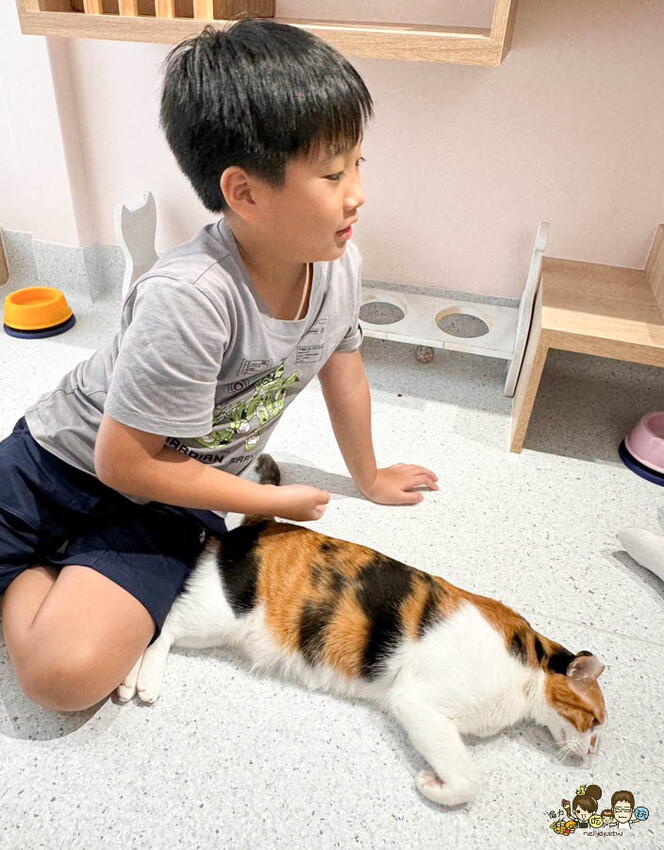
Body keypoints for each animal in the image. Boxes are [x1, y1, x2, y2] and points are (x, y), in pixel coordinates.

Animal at [117, 455, 606, 807]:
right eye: (596, 721)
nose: (593, 753)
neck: (526, 672)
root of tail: (261, 524)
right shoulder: (417, 704)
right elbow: (468, 778)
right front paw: (433, 785)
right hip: (220, 613)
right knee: (165, 625)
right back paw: (142, 682)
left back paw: (129, 682)